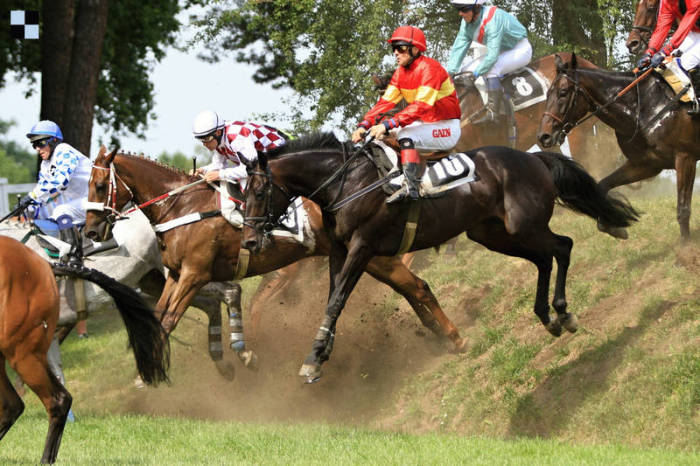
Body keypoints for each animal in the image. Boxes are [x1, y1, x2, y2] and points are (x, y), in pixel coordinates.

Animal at [85, 147, 470, 358]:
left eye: (100, 185)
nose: (90, 231)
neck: (181, 206)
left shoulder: (195, 275)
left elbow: (167, 320)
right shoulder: (175, 276)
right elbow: (159, 315)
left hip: (366, 254)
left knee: (415, 285)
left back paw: (453, 337)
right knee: (409, 287)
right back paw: (439, 335)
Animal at [242, 131, 640, 382]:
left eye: (259, 191)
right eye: (241, 192)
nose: (249, 241)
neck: (347, 183)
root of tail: (532, 158)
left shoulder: (363, 247)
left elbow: (337, 300)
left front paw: (313, 360)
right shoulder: (339, 252)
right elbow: (332, 301)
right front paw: (320, 355)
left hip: (524, 225)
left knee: (563, 247)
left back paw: (562, 312)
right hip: (493, 233)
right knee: (545, 257)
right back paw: (548, 316)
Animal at [540, 52, 696, 238]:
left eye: (563, 93)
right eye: (547, 94)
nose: (543, 136)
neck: (642, 108)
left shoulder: (685, 158)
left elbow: (683, 210)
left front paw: (686, 245)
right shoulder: (646, 165)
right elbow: (602, 186)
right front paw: (612, 226)